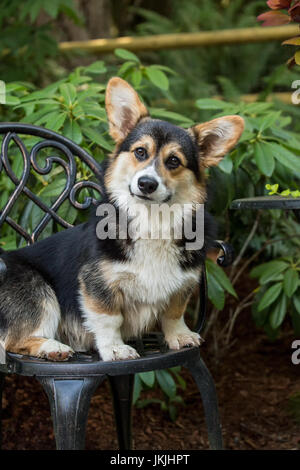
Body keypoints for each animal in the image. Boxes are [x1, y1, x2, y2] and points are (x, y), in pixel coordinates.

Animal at [0, 79, 244, 362]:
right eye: (140, 152)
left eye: (174, 161)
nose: (146, 183)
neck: (152, 222)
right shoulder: (99, 284)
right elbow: (109, 319)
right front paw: (115, 348)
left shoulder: (182, 284)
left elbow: (174, 313)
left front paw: (180, 336)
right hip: (39, 291)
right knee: (13, 340)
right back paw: (52, 347)